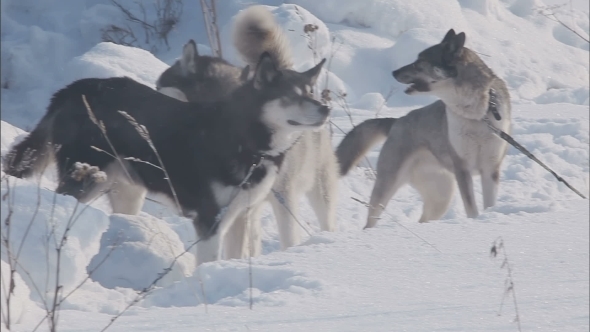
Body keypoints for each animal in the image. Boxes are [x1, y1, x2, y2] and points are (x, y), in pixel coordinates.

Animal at [338, 28, 512, 227]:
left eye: (419, 63)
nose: (394, 72)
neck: (476, 115)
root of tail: (396, 122)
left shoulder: (490, 169)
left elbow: (488, 205)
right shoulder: (463, 168)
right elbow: (472, 209)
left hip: (442, 195)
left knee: (424, 219)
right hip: (388, 186)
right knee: (370, 221)